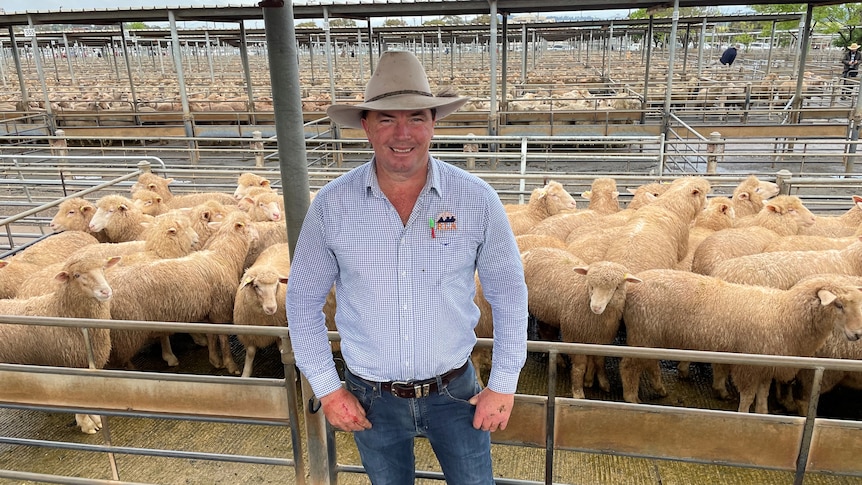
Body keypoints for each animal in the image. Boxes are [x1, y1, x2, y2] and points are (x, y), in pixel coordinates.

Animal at [0, 251, 121, 432]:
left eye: (103, 268)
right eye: (76, 275)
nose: (105, 291)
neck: (60, 311)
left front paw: (95, 419)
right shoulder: (69, 368)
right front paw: (87, 425)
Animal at [524, 248, 636, 398]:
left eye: (617, 287)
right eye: (591, 284)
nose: (596, 307)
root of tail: (531, 250)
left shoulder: (603, 338)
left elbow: (599, 360)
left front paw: (603, 382)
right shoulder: (574, 337)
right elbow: (579, 367)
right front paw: (578, 391)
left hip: (546, 311)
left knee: (547, 333)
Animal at [620, 268, 862, 412]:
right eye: (838, 304)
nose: (857, 334)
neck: (784, 314)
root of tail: (634, 283)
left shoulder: (766, 367)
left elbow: (763, 395)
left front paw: (763, 415)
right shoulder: (749, 366)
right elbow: (747, 396)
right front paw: (746, 416)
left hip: (651, 335)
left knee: (650, 363)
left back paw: (660, 389)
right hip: (643, 332)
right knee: (629, 365)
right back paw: (631, 398)